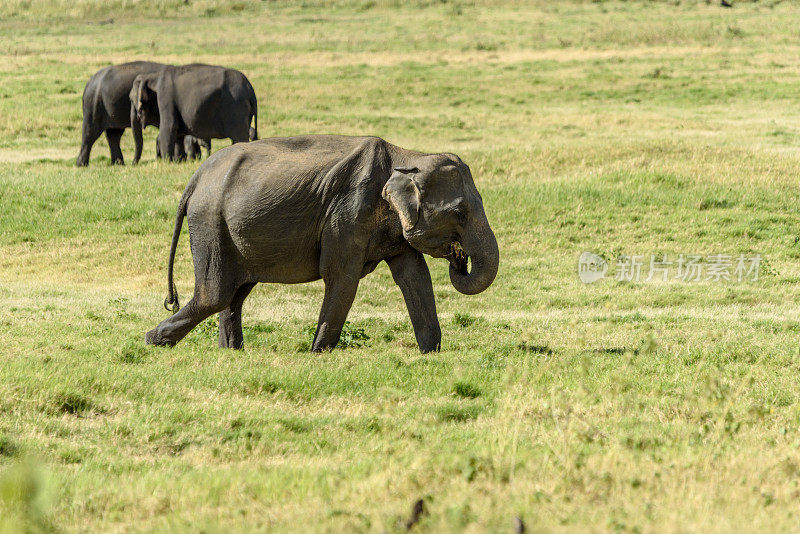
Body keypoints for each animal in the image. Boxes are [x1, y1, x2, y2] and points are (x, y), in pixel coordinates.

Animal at [130, 63, 258, 163]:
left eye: (131, 99)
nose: (133, 164)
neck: (152, 76)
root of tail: (250, 89)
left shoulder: (165, 96)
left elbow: (169, 127)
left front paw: (167, 162)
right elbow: (178, 135)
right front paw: (179, 161)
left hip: (236, 107)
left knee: (239, 136)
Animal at [143, 136, 494, 354]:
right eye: (460, 213)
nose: (459, 258)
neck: (407, 156)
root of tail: (196, 177)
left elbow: (415, 277)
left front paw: (431, 354)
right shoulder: (348, 213)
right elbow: (342, 279)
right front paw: (317, 354)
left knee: (234, 293)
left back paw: (231, 353)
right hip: (210, 223)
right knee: (216, 293)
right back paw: (152, 342)